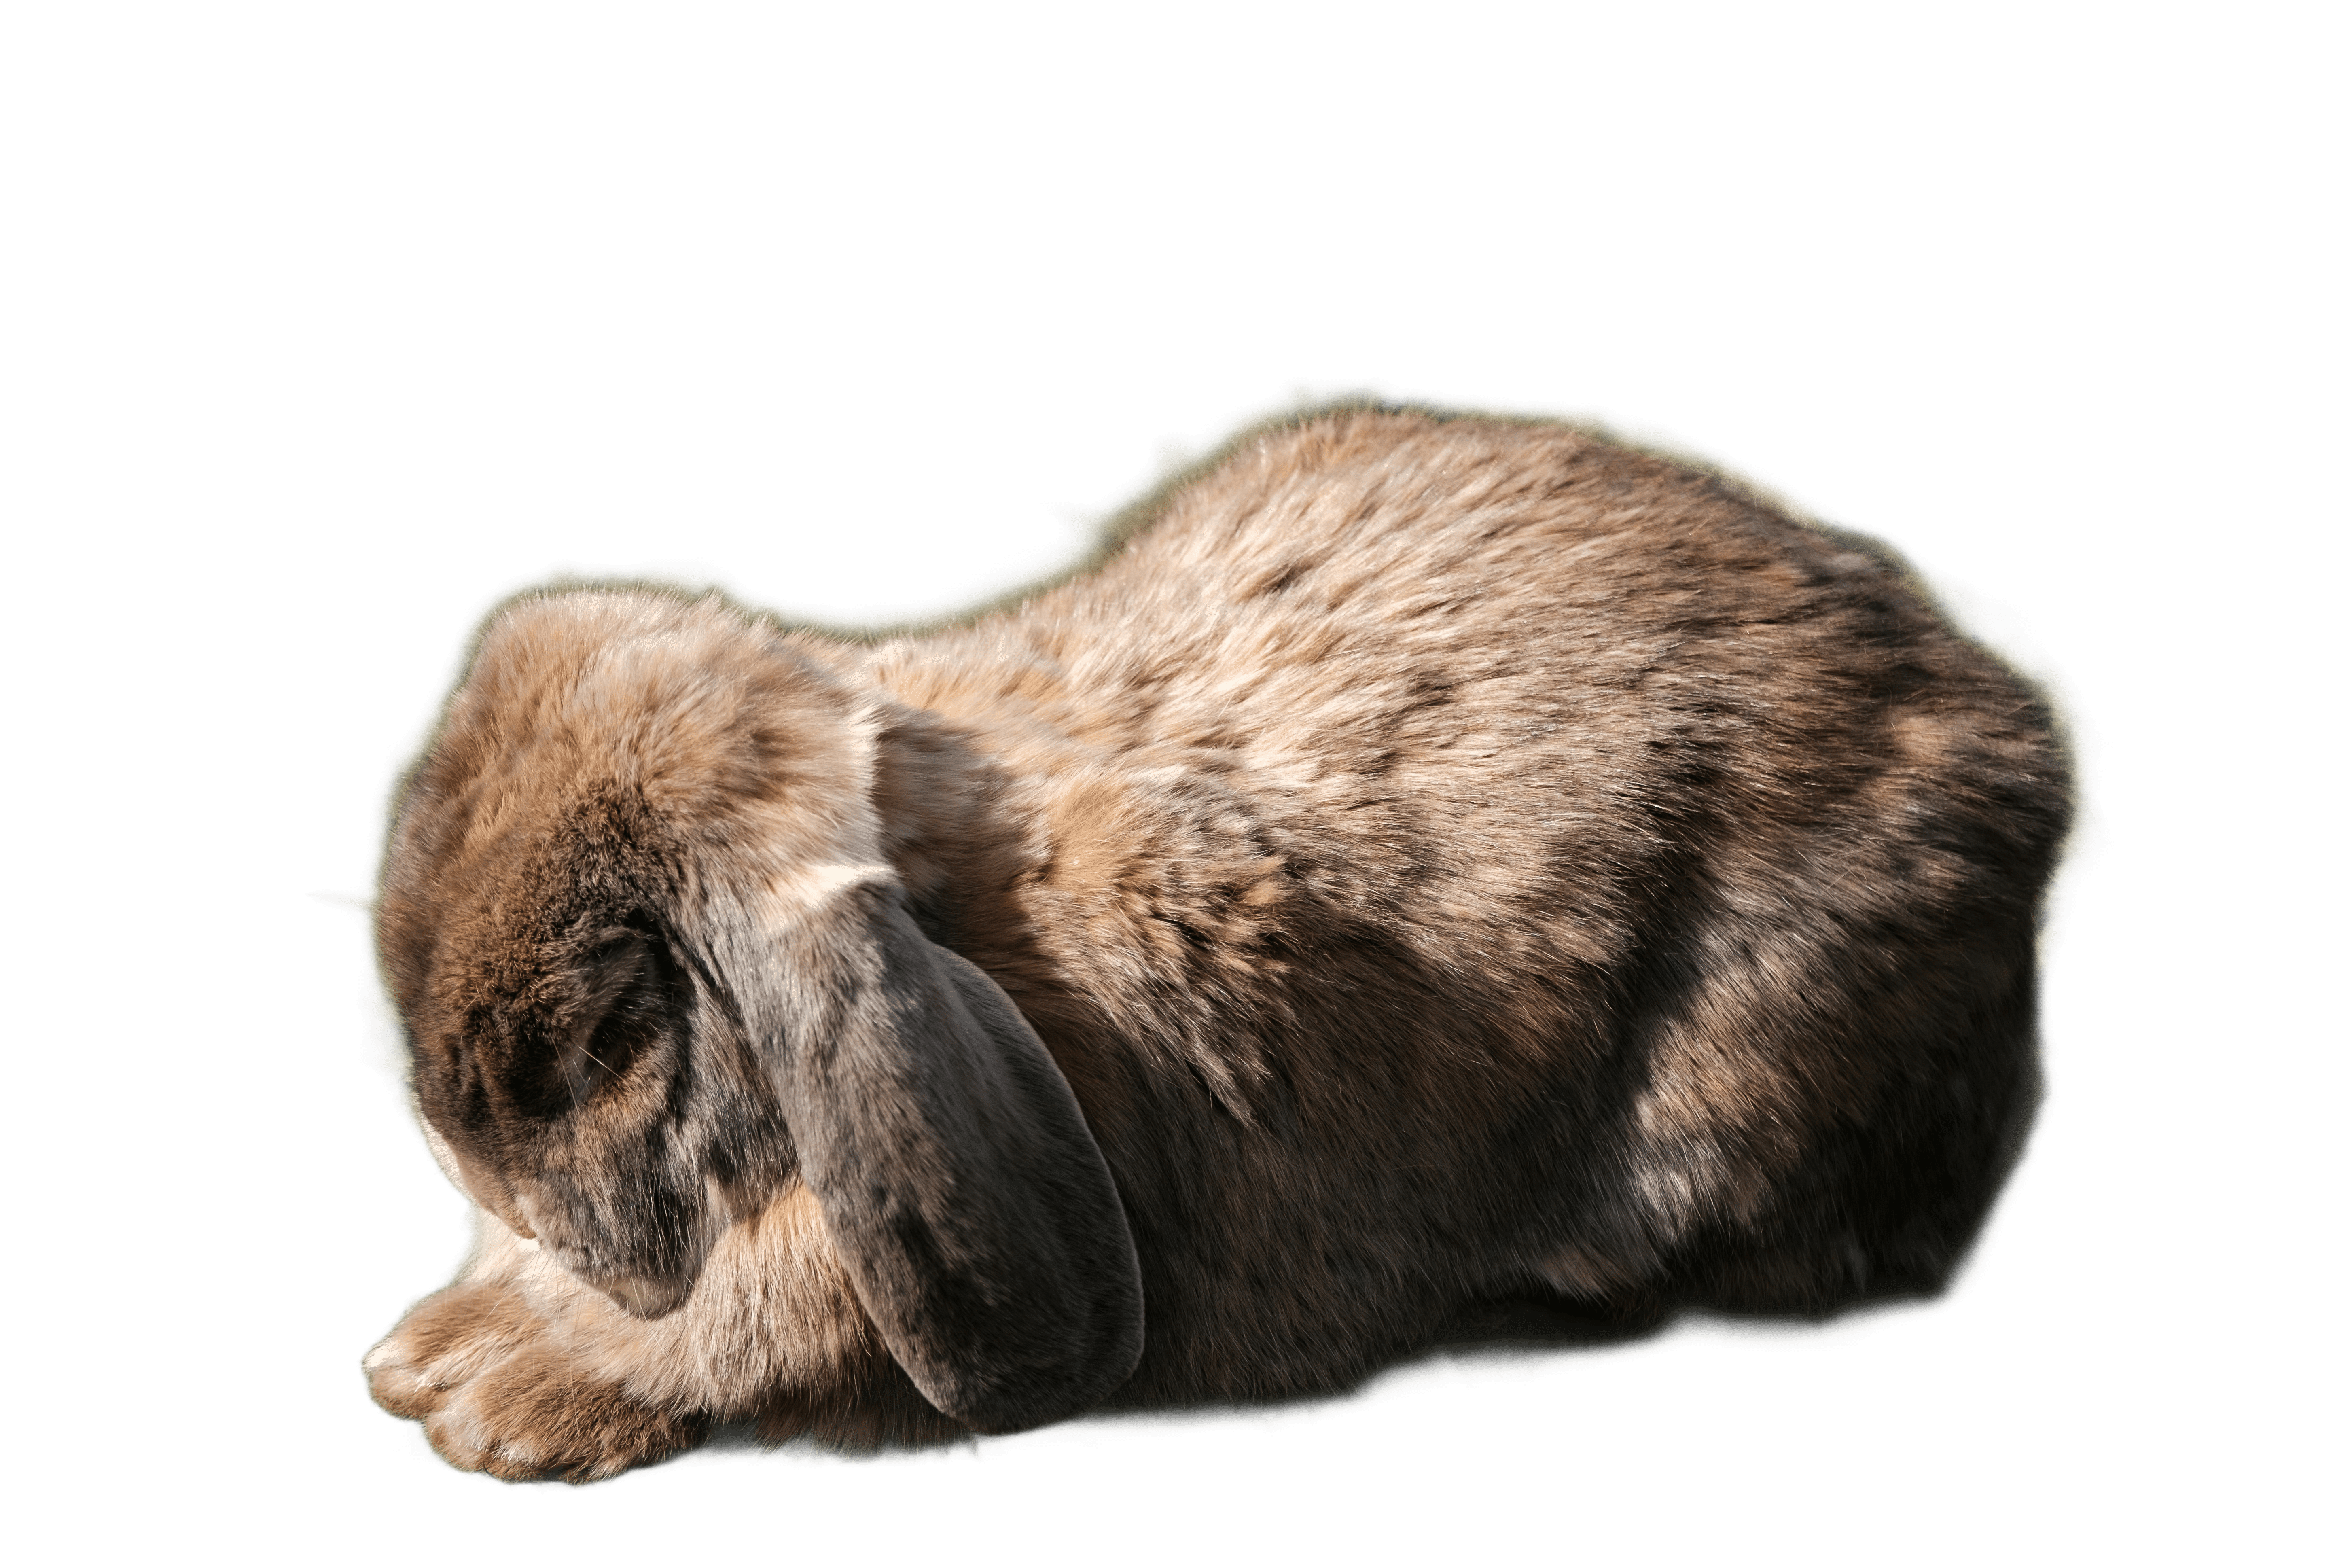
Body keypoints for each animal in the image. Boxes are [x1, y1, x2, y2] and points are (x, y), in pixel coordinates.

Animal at [359, 407, 2079, 1484]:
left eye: (596, 1041)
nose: (489, 1177)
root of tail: (2005, 739)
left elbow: (744, 1348)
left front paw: (499, 1392)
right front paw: (433, 1352)